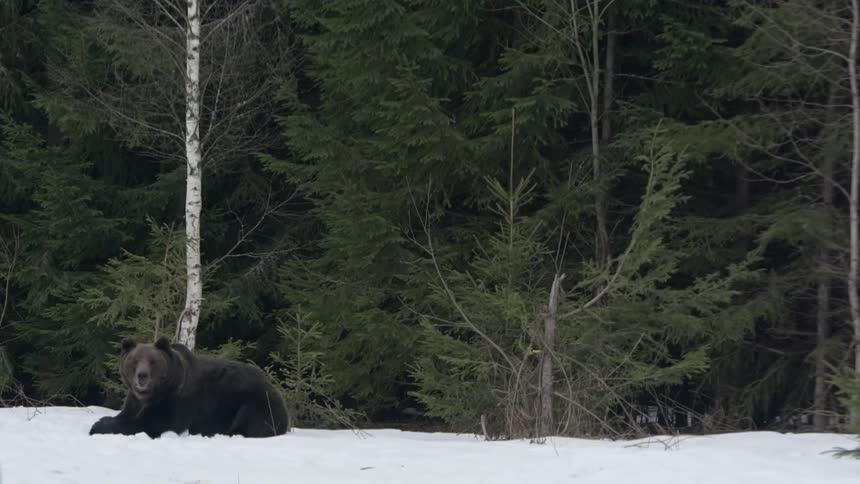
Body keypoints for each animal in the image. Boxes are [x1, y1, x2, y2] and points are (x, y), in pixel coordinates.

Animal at [89, 336, 289, 438]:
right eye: (135, 360)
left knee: (249, 419)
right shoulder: (134, 400)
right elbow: (127, 413)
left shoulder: (177, 400)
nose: (142, 376)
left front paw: (99, 425)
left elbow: (153, 423)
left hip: (255, 400)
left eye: (152, 361)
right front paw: (105, 419)